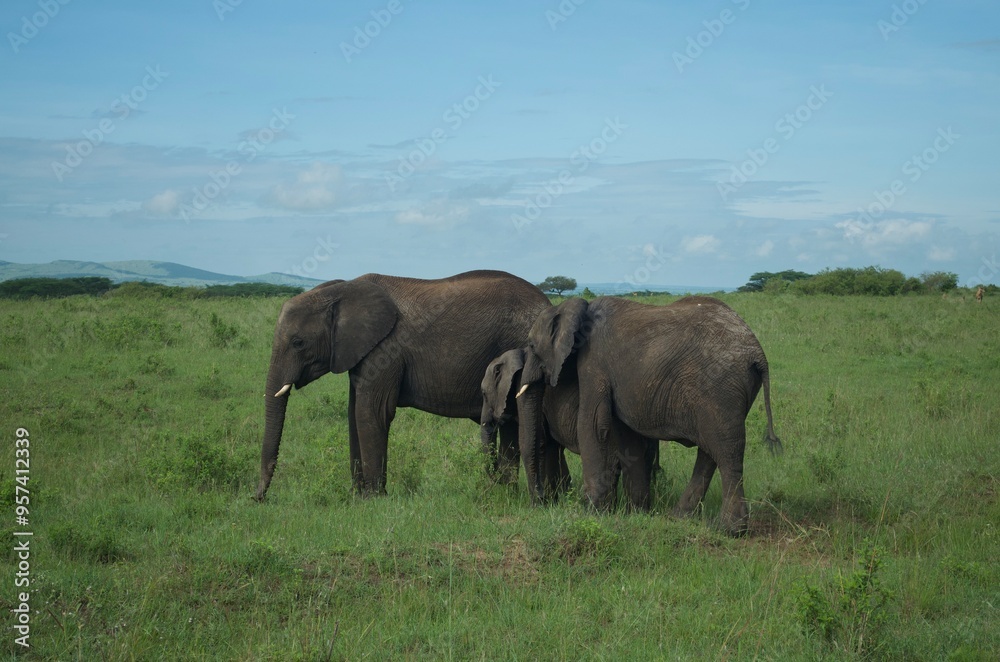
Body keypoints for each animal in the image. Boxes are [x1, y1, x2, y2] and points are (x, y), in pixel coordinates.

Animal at [255, 270, 551, 502]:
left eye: (298, 343)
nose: (257, 497)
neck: (343, 289)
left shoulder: (386, 350)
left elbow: (371, 413)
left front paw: (372, 500)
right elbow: (353, 414)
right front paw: (356, 496)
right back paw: (506, 494)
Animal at [481, 348, 659, 509]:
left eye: (483, 393)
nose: (498, 478)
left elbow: (540, 444)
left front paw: (542, 504)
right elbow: (550, 447)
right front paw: (553, 501)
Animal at [519, 296, 781, 536]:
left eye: (531, 346)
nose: (539, 502)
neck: (575, 308)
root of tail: (757, 352)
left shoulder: (593, 361)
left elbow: (593, 423)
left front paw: (591, 511)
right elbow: (627, 436)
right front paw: (636, 513)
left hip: (720, 388)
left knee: (726, 452)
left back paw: (729, 530)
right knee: (710, 452)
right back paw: (680, 517)